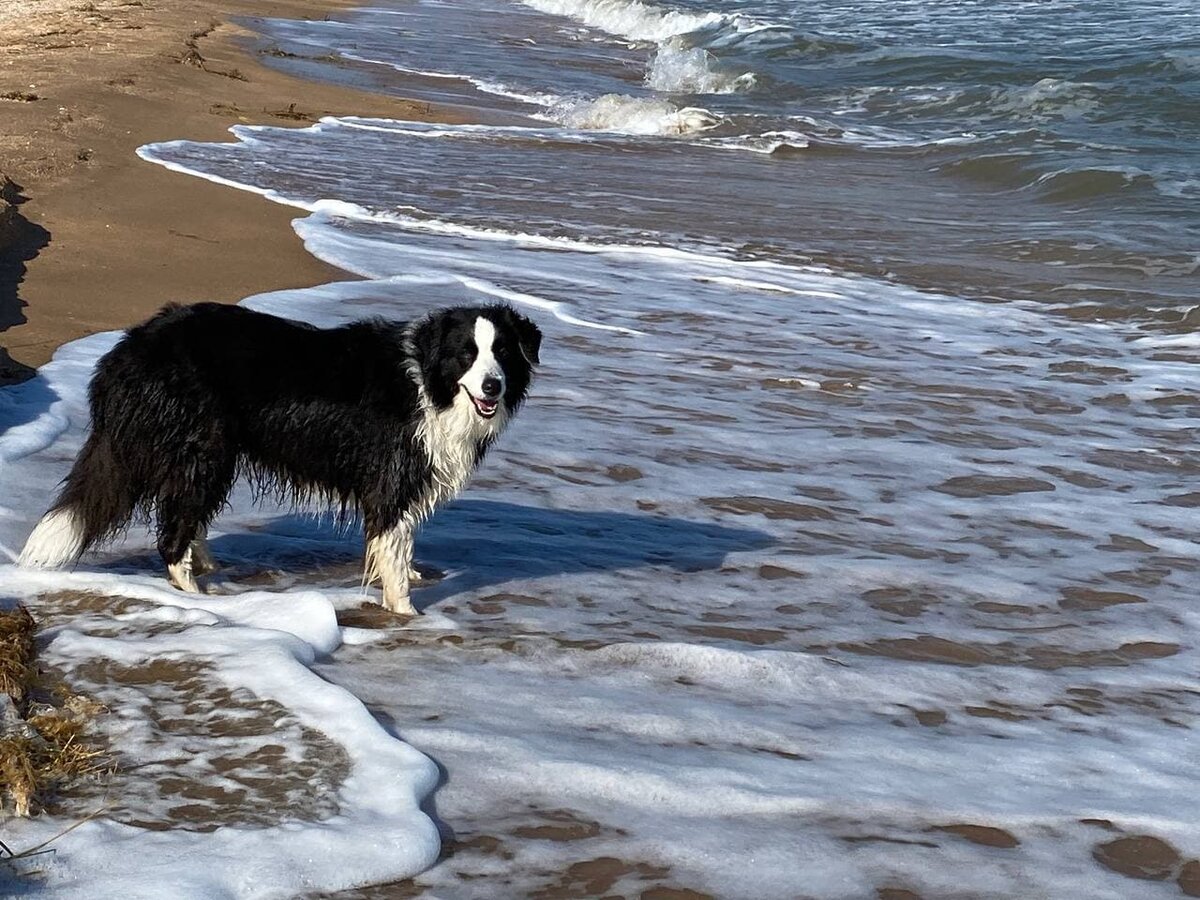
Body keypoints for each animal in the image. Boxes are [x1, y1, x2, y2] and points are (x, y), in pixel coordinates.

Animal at [18, 300, 542, 619]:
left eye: (502, 352)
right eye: (466, 354)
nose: (493, 386)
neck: (429, 386)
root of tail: (127, 350)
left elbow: (399, 543)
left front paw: (410, 575)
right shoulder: (392, 475)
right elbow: (393, 545)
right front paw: (405, 611)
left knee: (187, 516)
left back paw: (206, 565)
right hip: (201, 449)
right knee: (172, 531)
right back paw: (195, 594)